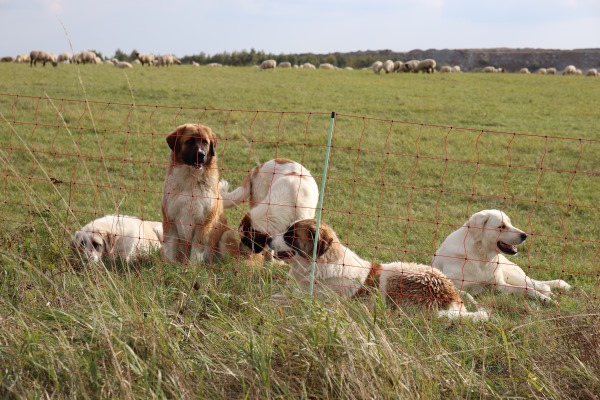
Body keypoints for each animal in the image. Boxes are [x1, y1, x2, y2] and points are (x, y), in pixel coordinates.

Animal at [161, 123, 224, 264]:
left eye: (205, 142)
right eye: (190, 141)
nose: (201, 154)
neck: (190, 179)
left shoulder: (204, 223)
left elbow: (197, 247)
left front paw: (192, 266)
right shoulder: (170, 219)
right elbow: (170, 246)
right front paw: (169, 264)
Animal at [268, 219, 488, 322]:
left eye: (290, 236)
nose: (268, 238)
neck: (318, 264)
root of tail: (452, 295)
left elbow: (285, 301)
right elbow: (276, 296)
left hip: (396, 276)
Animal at [432, 209, 572, 304]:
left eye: (510, 223)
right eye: (501, 226)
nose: (525, 235)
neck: (481, 257)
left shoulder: (500, 285)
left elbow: (528, 290)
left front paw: (545, 300)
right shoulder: (451, 285)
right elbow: (466, 294)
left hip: (514, 276)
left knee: (541, 286)